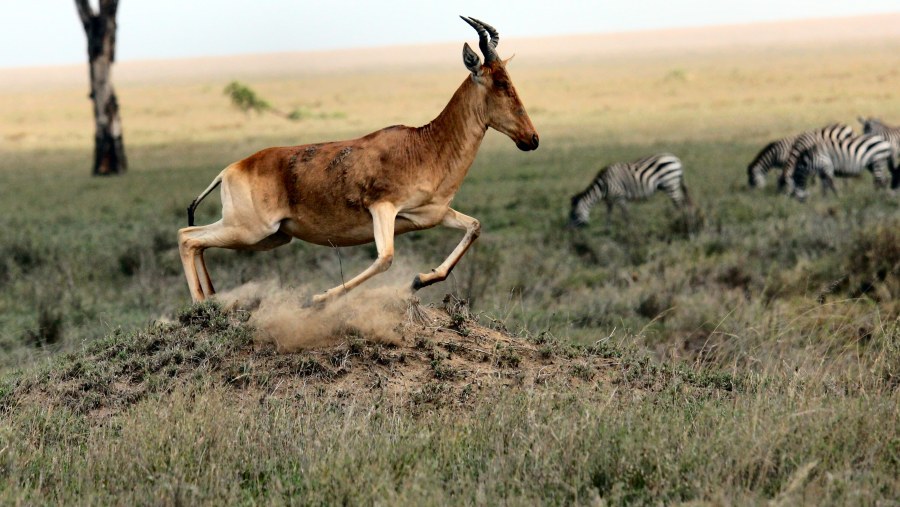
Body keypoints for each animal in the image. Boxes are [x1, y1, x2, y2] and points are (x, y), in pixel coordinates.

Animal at [179, 17, 536, 306]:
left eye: (509, 78)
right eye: (499, 82)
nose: (531, 139)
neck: (424, 145)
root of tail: (230, 169)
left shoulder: (431, 215)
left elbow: (474, 227)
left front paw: (420, 280)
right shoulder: (383, 208)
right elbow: (385, 258)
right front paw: (319, 297)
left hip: (271, 236)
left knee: (197, 242)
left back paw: (212, 299)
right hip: (251, 229)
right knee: (187, 236)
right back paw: (200, 305)